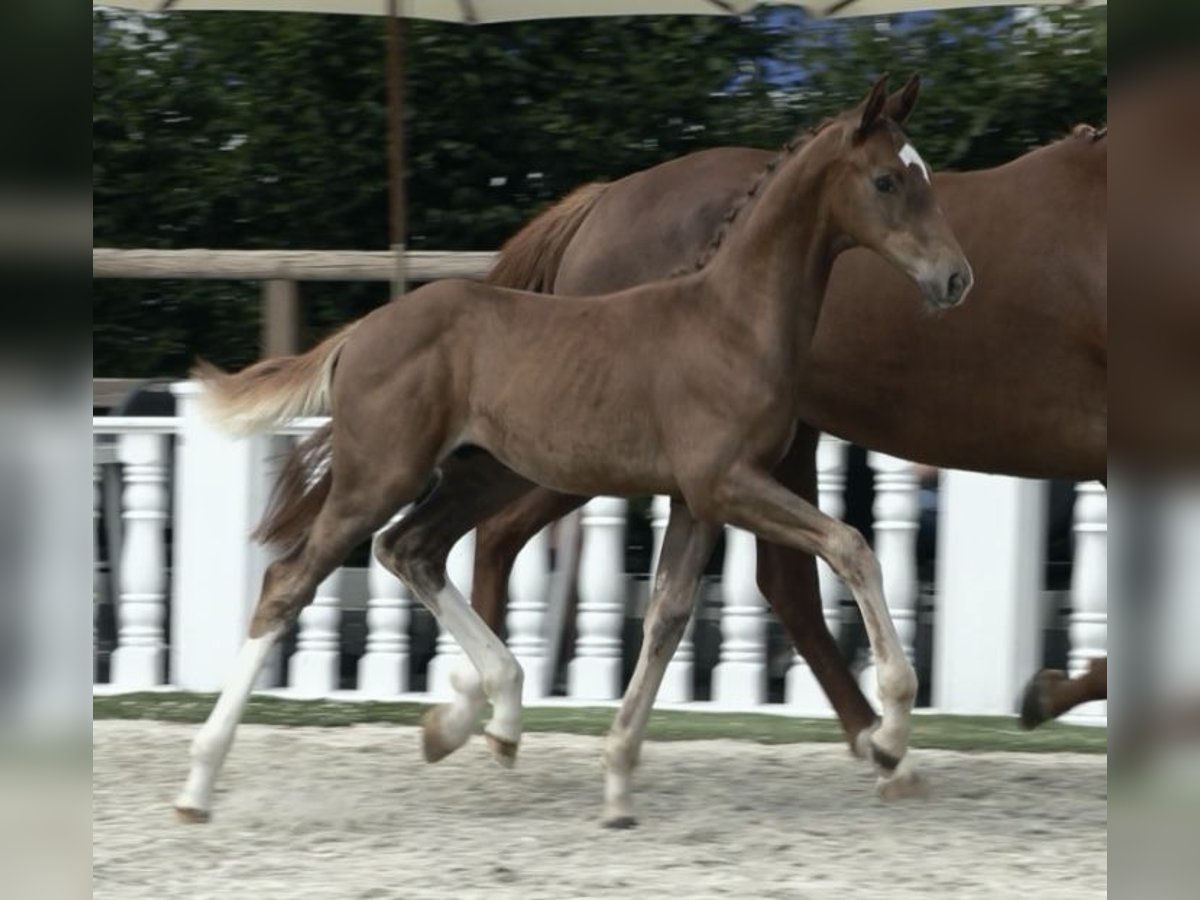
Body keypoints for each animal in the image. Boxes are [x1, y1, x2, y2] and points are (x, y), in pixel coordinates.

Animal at [174, 81, 969, 830]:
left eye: (926, 173)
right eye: (886, 181)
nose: (956, 278)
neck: (731, 324)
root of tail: (361, 332)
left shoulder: (697, 499)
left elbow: (667, 616)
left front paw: (617, 782)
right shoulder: (728, 482)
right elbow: (852, 546)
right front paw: (892, 730)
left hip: (481, 474)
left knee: (412, 549)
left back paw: (494, 711)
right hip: (380, 477)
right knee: (290, 581)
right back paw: (198, 784)